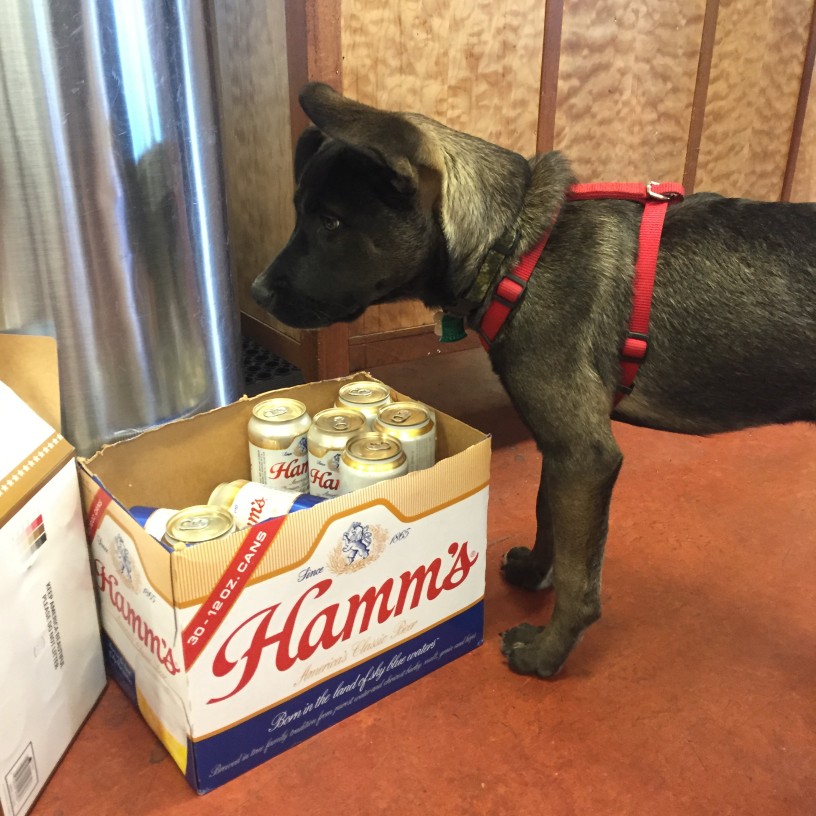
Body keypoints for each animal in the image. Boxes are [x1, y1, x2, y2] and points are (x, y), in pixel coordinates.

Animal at [253, 84, 816, 684]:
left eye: (332, 223)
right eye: (302, 213)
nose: (257, 293)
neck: (517, 249)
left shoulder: (586, 454)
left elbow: (577, 580)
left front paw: (546, 656)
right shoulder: (562, 448)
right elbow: (549, 516)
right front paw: (533, 574)